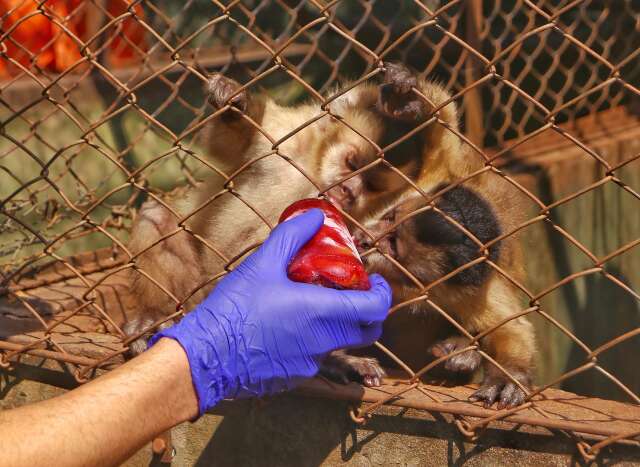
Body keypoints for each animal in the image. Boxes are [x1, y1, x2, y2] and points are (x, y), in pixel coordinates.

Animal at [124, 64, 536, 408]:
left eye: (371, 184)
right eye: (353, 164)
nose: (349, 191)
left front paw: (508, 373)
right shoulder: (289, 141)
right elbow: (234, 144)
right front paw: (234, 104)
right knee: (160, 217)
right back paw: (154, 318)